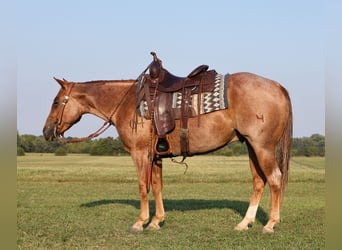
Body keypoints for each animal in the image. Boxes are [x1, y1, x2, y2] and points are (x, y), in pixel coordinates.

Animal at [42, 65, 292, 234]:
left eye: (56, 102)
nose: (46, 131)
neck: (127, 103)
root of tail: (277, 86)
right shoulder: (155, 155)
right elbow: (157, 186)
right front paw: (156, 221)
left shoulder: (140, 153)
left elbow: (143, 186)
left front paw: (140, 222)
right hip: (251, 147)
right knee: (259, 181)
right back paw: (244, 223)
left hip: (262, 147)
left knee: (275, 179)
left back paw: (270, 224)